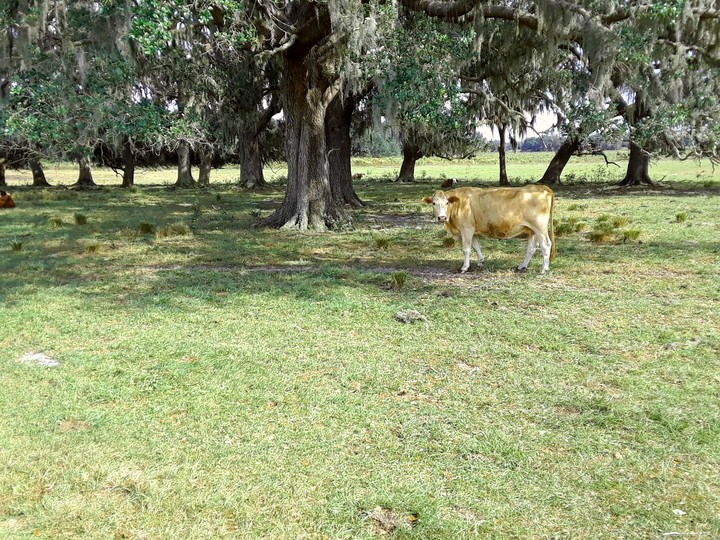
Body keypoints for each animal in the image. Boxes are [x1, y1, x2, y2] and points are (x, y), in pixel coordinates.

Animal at [423, 185, 556, 273]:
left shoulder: (466, 230)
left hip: (540, 227)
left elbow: (466, 249)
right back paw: (522, 266)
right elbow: (476, 247)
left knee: (546, 245)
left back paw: (544, 269)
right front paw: (480, 261)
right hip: (532, 230)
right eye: (433, 203)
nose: (442, 217)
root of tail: (540, 187)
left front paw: (465, 267)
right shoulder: (473, 231)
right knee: (531, 248)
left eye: (447, 203)